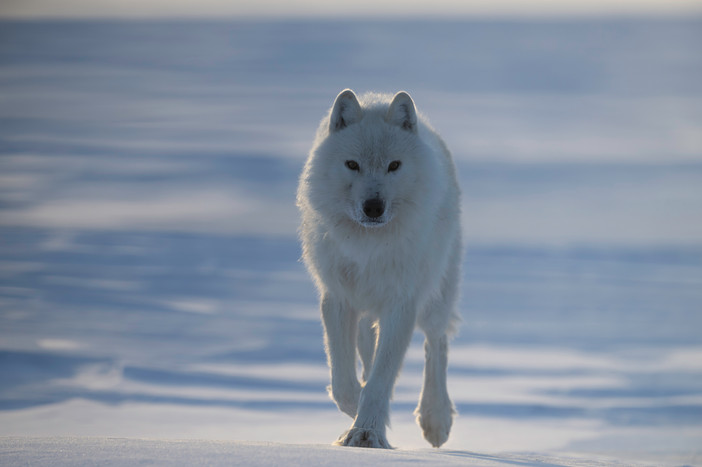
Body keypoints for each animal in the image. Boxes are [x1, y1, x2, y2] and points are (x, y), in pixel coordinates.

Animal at [297, 89, 462, 449]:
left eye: (394, 166)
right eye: (352, 165)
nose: (373, 207)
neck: (369, 247)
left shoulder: (401, 305)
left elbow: (381, 378)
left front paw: (367, 432)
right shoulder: (337, 300)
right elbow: (345, 383)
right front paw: (358, 417)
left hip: (434, 299)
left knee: (437, 342)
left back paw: (436, 420)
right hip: (365, 312)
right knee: (368, 352)